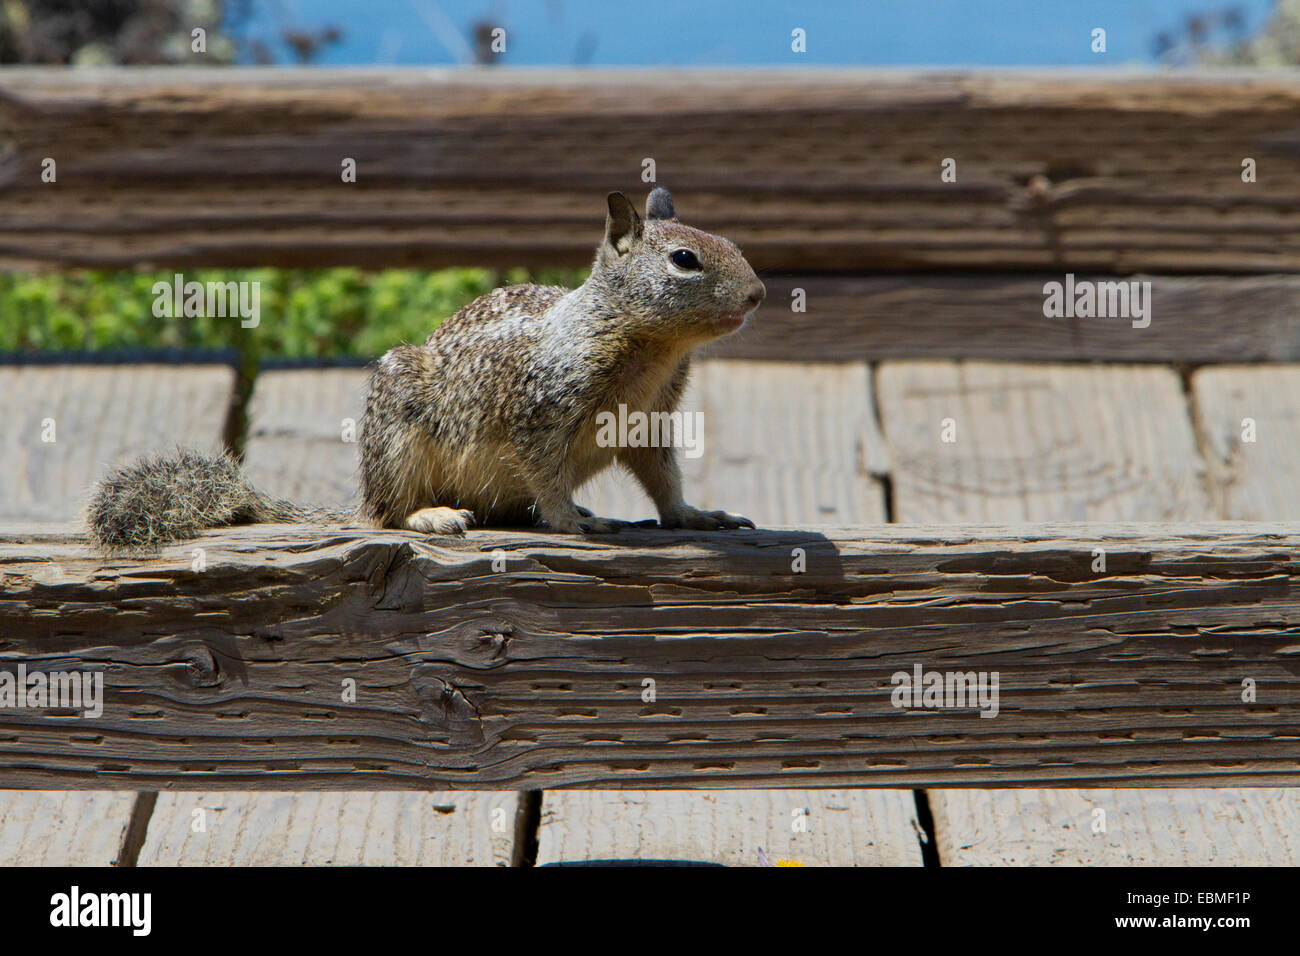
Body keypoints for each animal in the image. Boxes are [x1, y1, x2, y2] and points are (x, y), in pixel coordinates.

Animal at [91, 191, 764, 548]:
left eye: (730, 241)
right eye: (684, 259)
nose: (758, 294)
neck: (649, 345)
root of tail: (360, 498)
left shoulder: (648, 419)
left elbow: (663, 477)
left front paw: (696, 515)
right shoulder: (539, 411)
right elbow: (545, 475)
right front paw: (571, 519)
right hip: (397, 439)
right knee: (388, 515)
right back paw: (431, 514)